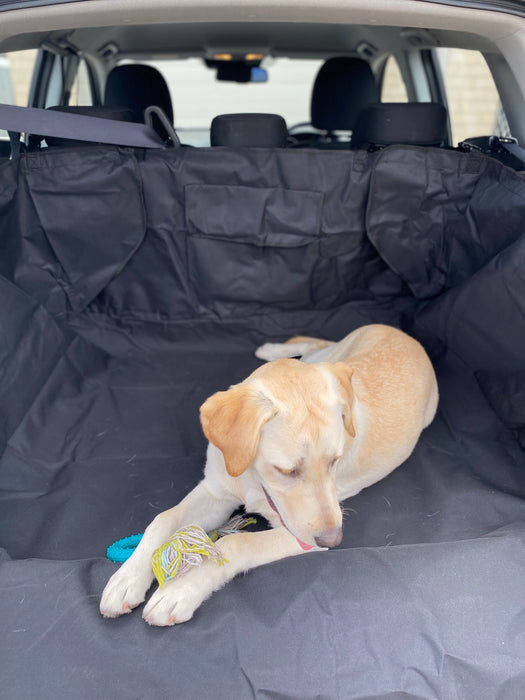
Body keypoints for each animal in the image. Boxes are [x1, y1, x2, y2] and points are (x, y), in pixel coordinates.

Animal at [100, 326, 436, 628]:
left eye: (335, 460)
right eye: (287, 470)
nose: (334, 540)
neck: (251, 479)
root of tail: (403, 334)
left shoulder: (300, 536)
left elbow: (235, 544)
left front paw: (179, 589)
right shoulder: (215, 491)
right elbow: (163, 519)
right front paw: (126, 578)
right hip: (332, 357)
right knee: (318, 345)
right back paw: (272, 348)